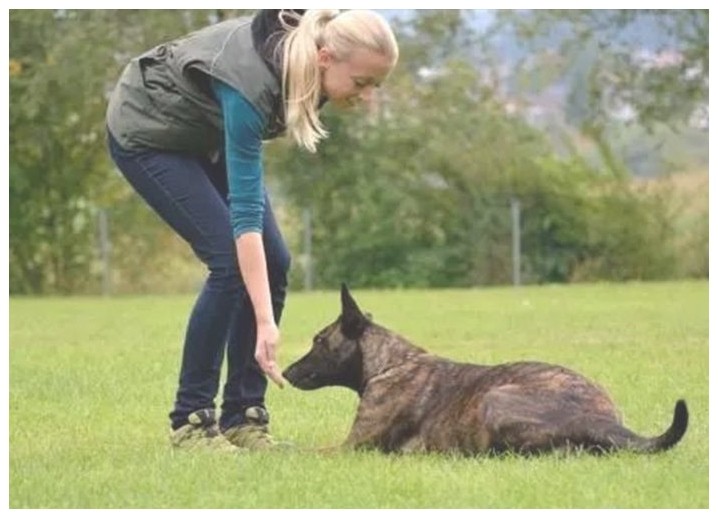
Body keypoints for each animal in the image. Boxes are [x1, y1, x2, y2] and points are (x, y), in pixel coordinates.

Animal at [282, 284, 692, 460]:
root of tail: (597, 418)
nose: (284, 372)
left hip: (495, 398)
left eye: (319, 340)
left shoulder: (350, 447)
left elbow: (298, 452)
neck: (389, 363)